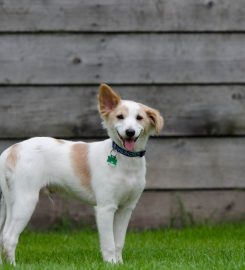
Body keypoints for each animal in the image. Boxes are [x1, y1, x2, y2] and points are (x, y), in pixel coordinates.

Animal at [0, 84, 165, 264]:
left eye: (139, 118)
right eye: (120, 117)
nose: (130, 132)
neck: (125, 159)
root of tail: (10, 150)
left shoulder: (126, 208)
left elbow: (119, 242)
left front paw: (120, 263)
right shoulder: (105, 208)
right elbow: (109, 243)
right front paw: (111, 263)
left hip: (11, 201)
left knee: (3, 236)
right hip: (26, 200)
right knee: (9, 237)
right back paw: (14, 265)